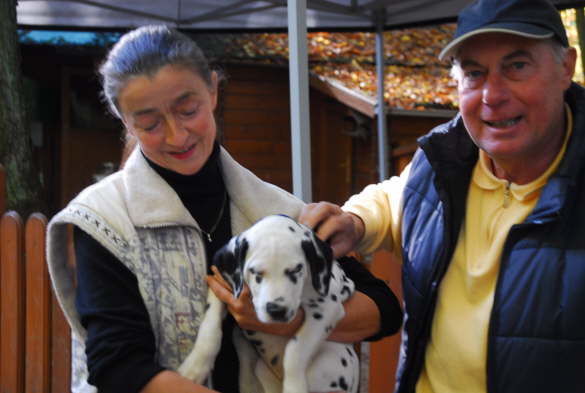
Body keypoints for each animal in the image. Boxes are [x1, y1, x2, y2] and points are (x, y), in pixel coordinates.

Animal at [178, 214, 358, 392]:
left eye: (296, 270)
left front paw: (294, 386)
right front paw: (195, 365)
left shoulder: (327, 309)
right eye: (256, 272)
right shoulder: (221, 284)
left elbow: (295, 351)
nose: (277, 310)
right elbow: (210, 325)